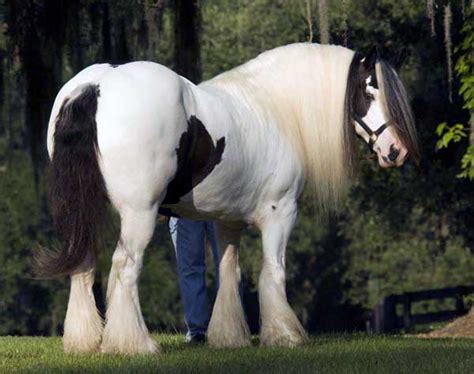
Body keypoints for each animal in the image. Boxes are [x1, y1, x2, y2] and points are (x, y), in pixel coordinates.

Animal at [36, 43, 418, 354]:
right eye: (369, 91)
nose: (396, 151)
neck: (276, 109)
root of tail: (95, 86)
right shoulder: (281, 213)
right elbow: (273, 271)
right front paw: (285, 336)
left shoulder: (226, 221)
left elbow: (228, 272)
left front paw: (229, 338)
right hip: (138, 213)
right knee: (125, 267)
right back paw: (136, 345)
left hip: (85, 209)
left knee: (84, 265)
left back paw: (84, 342)